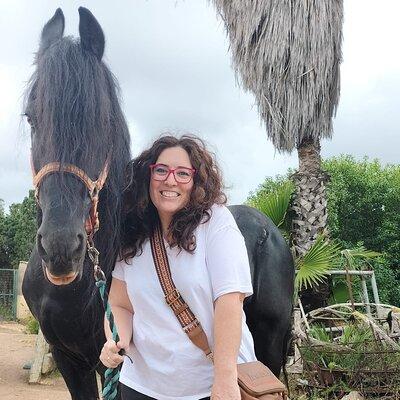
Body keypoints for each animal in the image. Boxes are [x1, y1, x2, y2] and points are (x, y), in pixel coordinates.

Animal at [22, 7, 294, 400]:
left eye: (102, 120)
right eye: (31, 117)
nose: (60, 248)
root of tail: (266, 229)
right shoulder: (69, 359)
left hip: (270, 342)